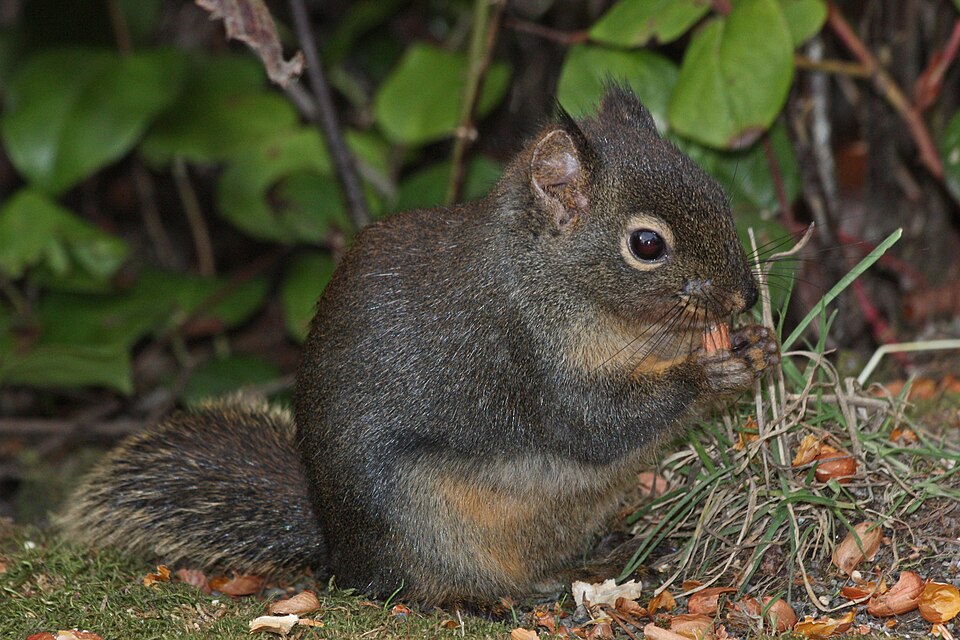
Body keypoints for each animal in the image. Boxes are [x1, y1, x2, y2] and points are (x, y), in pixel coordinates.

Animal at [59, 86, 780, 604]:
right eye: (647, 244)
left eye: (717, 192)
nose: (745, 295)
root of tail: (339, 553)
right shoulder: (520, 352)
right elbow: (595, 424)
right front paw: (710, 370)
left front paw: (758, 346)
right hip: (422, 520)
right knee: (433, 587)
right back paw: (513, 596)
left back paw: (607, 555)